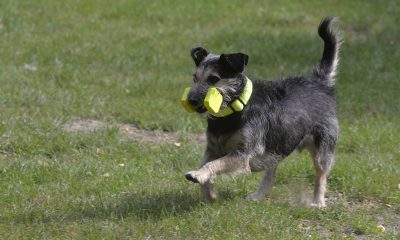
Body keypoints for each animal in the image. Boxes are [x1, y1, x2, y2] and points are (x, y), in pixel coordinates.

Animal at [183, 17, 340, 208]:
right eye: (194, 78)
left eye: (213, 79)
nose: (191, 100)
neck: (232, 112)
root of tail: (319, 82)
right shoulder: (212, 148)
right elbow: (206, 163)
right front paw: (210, 193)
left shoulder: (241, 154)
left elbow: (213, 164)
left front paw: (199, 176)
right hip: (277, 145)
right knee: (271, 174)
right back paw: (258, 195)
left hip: (322, 147)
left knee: (321, 174)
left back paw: (318, 202)